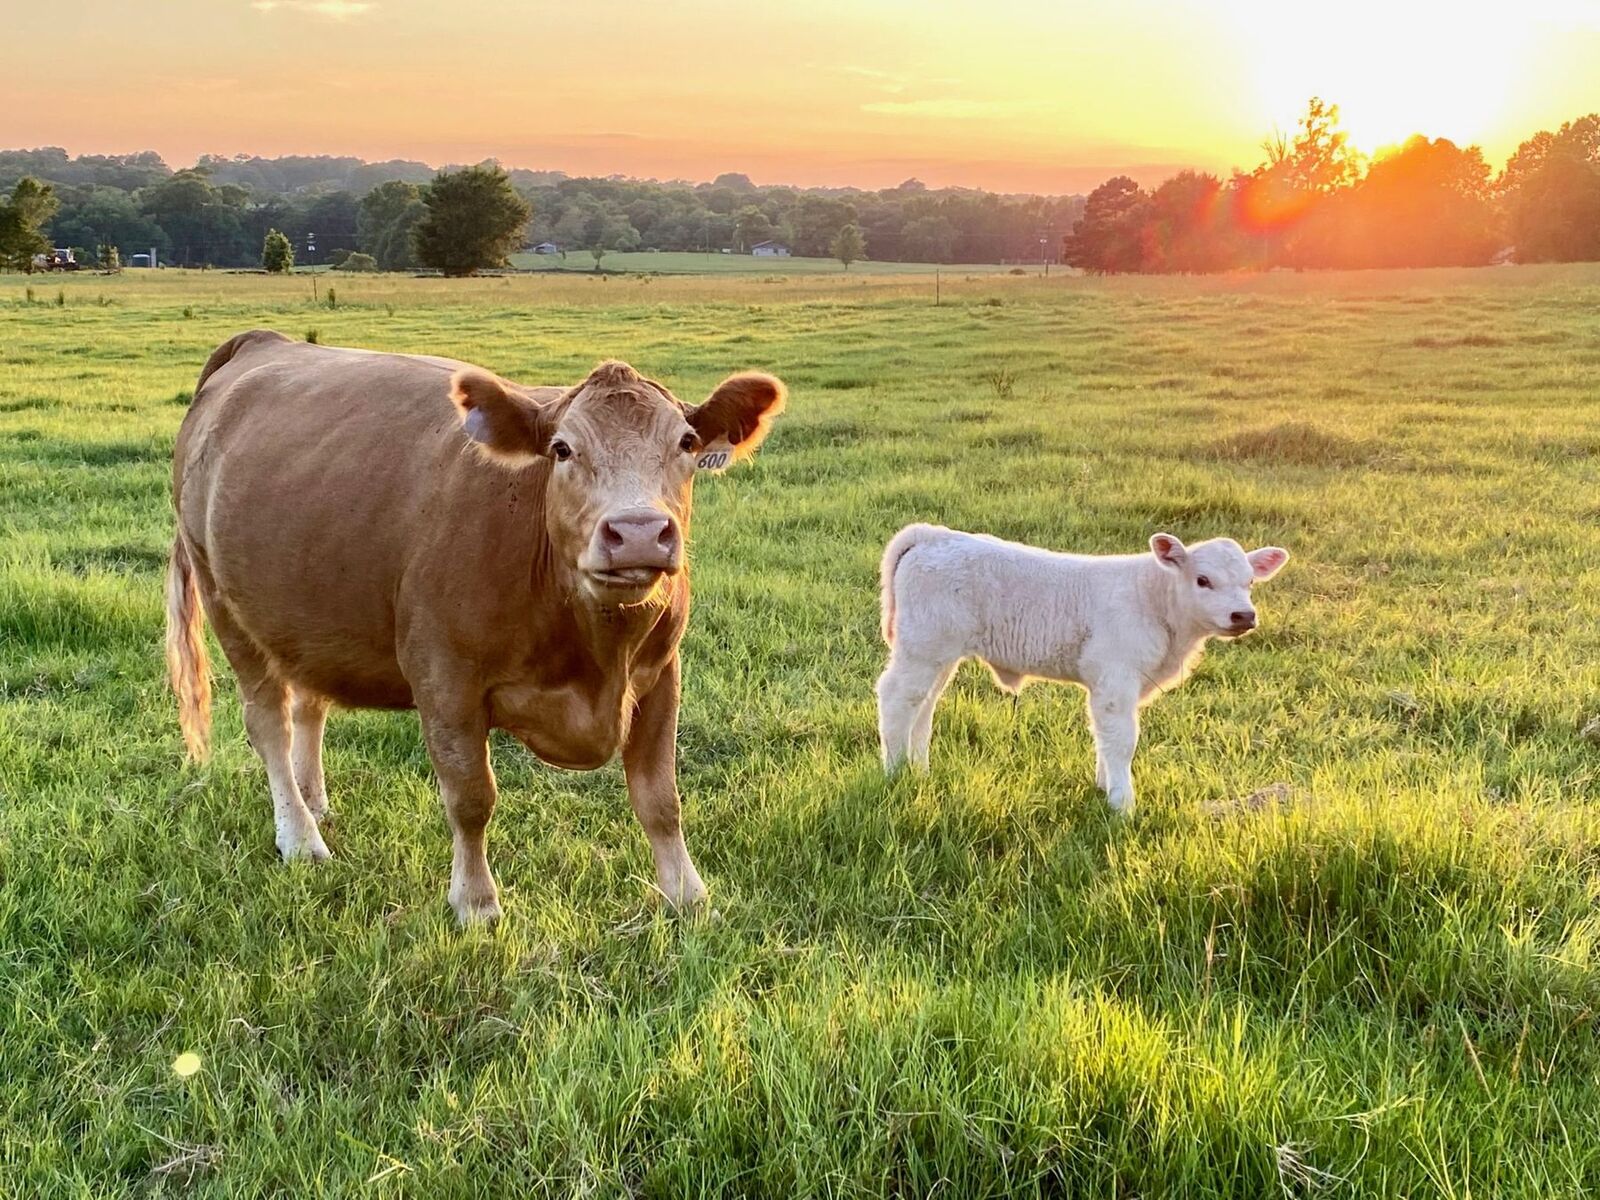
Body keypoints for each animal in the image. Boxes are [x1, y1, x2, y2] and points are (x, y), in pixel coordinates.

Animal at [167, 330, 785, 924]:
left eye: (686, 443)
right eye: (562, 449)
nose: (637, 532)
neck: (595, 648)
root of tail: (263, 340)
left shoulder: (661, 674)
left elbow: (660, 798)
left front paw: (688, 895)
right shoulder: (446, 680)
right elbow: (471, 798)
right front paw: (476, 902)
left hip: (306, 617)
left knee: (308, 704)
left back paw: (313, 802)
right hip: (227, 605)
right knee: (268, 722)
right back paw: (299, 835)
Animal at [875, 524, 1288, 813]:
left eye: (1250, 582)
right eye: (1203, 580)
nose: (1243, 615)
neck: (1154, 599)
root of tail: (933, 535)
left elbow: (1103, 738)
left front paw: (1104, 789)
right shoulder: (1116, 679)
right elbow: (1121, 740)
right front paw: (1123, 805)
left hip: (939, 654)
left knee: (924, 705)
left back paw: (919, 769)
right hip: (923, 647)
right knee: (897, 697)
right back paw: (894, 772)